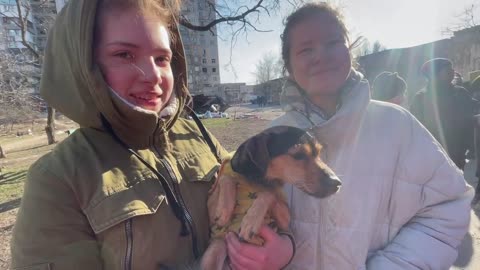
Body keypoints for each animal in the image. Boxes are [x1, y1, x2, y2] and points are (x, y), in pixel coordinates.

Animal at [202, 126, 342, 270]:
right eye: (298, 155)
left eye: (319, 153)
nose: (337, 183)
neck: (258, 180)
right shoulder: (211, 214)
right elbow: (226, 178)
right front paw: (224, 212)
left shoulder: (285, 221)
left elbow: (270, 193)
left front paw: (251, 221)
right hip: (215, 248)